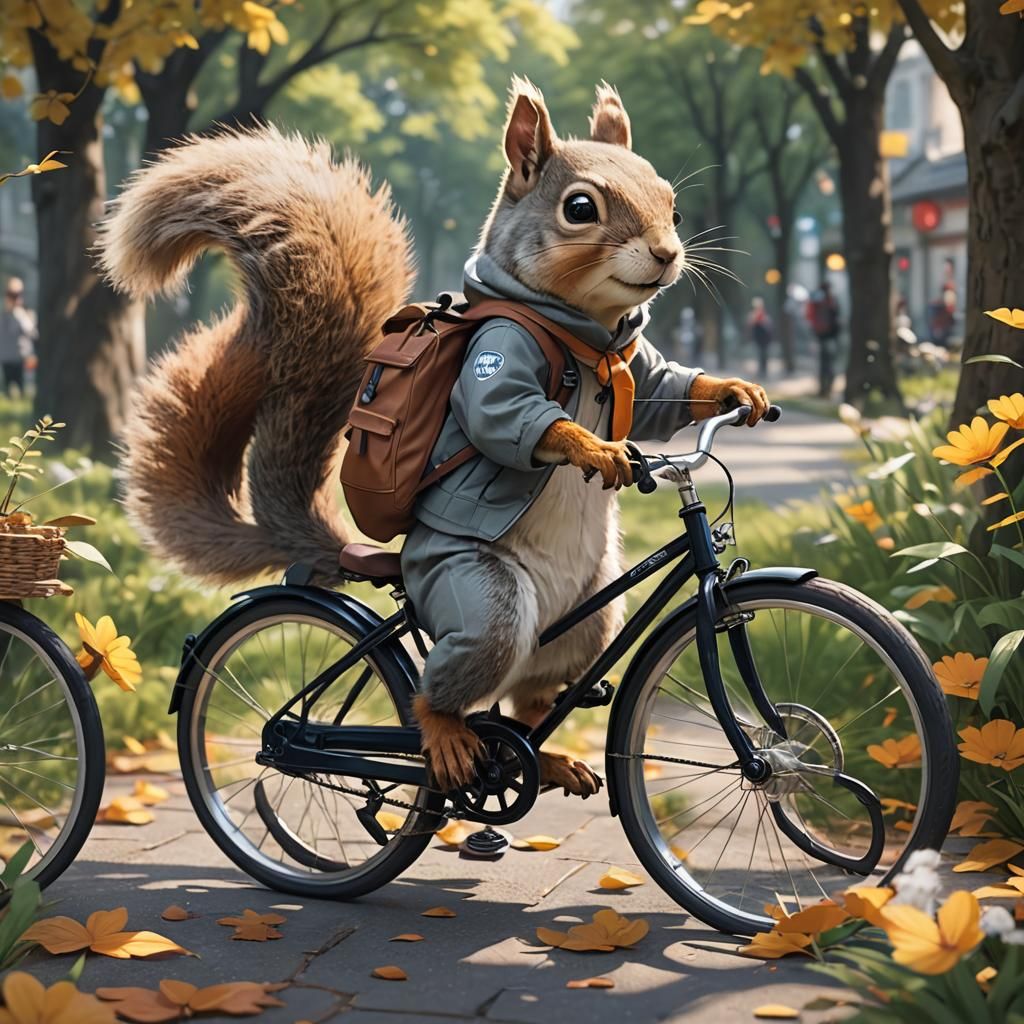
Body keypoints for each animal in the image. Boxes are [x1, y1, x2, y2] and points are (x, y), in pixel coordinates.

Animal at [98, 79, 769, 796]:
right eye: (580, 208)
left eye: (672, 202)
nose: (668, 254)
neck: (584, 335)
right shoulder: (499, 349)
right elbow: (500, 412)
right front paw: (592, 448)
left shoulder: (635, 368)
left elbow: (658, 389)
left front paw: (732, 392)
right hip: (485, 601)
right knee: (438, 680)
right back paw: (439, 736)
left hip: (587, 619)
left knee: (532, 695)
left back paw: (548, 759)